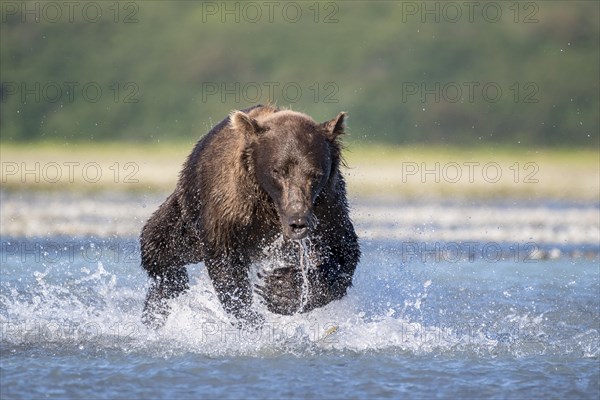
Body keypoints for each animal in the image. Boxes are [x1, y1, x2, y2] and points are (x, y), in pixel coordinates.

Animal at [141, 104, 358, 326]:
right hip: (189, 213)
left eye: (315, 174)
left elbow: (342, 251)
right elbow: (225, 260)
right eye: (278, 171)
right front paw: (252, 318)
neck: (270, 204)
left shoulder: (327, 207)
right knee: (159, 244)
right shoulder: (229, 206)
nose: (298, 222)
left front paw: (282, 289)